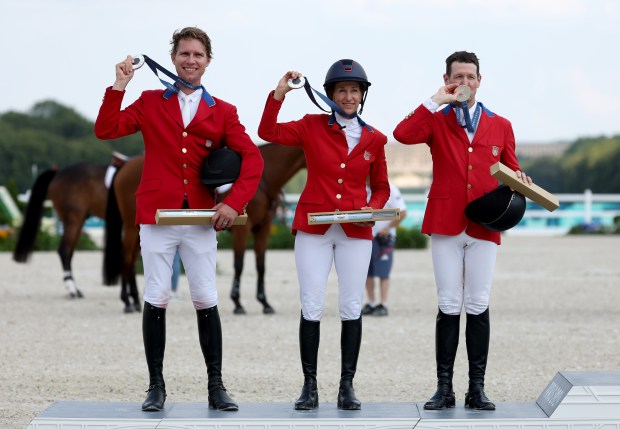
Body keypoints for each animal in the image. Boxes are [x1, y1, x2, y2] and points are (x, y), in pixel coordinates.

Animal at [12, 162, 109, 300]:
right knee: (64, 251)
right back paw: (72, 289)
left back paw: (75, 289)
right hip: (73, 221)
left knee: (69, 252)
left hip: (78, 222)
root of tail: (58, 173)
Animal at [104, 142, 308, 312]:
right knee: (126, 257)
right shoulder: (243, 229)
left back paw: (133, 300)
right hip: (132, 226)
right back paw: (130, 302)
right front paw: (237, 302)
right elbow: (239, 264)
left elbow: (261, 265)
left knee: (131, 258)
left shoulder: (263, 228)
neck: (265, 180)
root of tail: (125, 165)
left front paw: (264, 303)